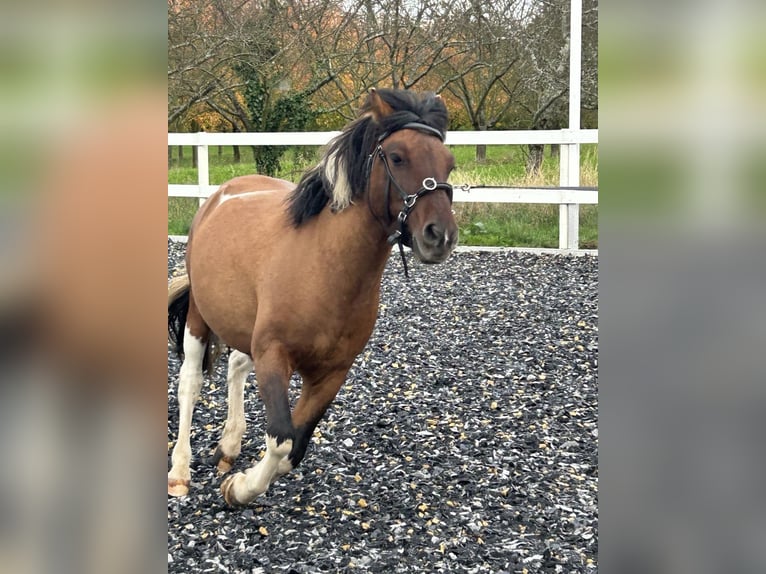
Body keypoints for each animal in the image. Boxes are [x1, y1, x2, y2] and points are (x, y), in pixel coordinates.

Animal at [168, 89, 460, 508]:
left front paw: (237, 480)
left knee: (236, 367)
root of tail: (219, 195)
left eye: (449, 164)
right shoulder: (274, 356)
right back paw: (179, 472)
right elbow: (280, 440)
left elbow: (295, 448)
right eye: (398, 156)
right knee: (189, 383)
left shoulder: (332, 373)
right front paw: (239, 489)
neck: (324, 267)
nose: (441, 236)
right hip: (198, 317)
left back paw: (228, 447)